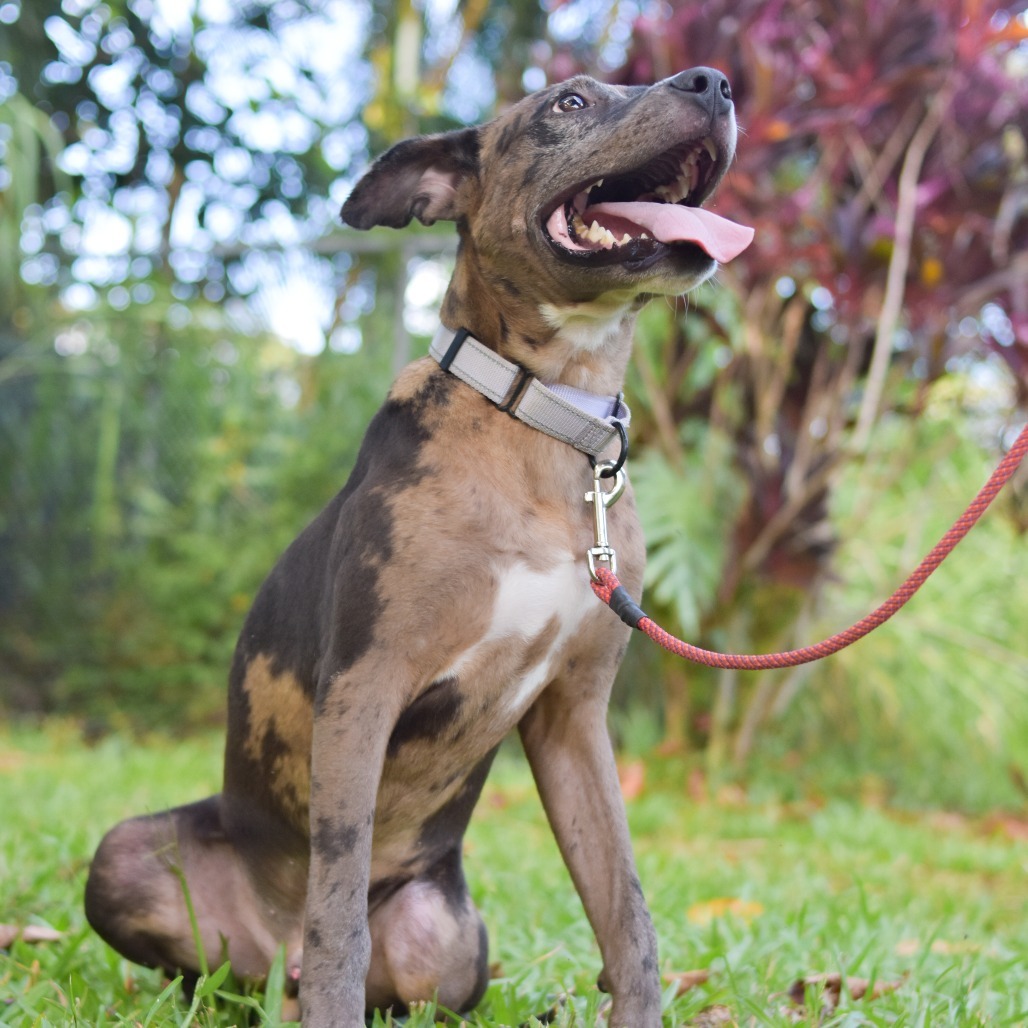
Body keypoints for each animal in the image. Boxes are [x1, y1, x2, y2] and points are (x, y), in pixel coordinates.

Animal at [84, 68, 752, 1023]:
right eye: (571, 103)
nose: (716, 82)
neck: (541, 418)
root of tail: (270, 958)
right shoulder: (365, 686)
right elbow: (338, 915)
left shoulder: (574, 718)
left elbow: (627, 913)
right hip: (127, 858)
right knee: (237, 957)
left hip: (458, 945)